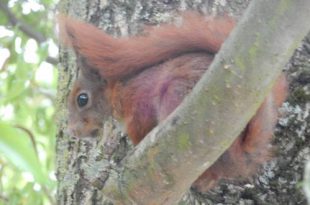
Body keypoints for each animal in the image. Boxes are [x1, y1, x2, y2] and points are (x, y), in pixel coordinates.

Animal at [60, 12, 288, 192]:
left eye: (82, 99)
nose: (73, 131)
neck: (119, 91)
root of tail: (239, 157)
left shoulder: (137, 106)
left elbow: (138, 128)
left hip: (175, 94)